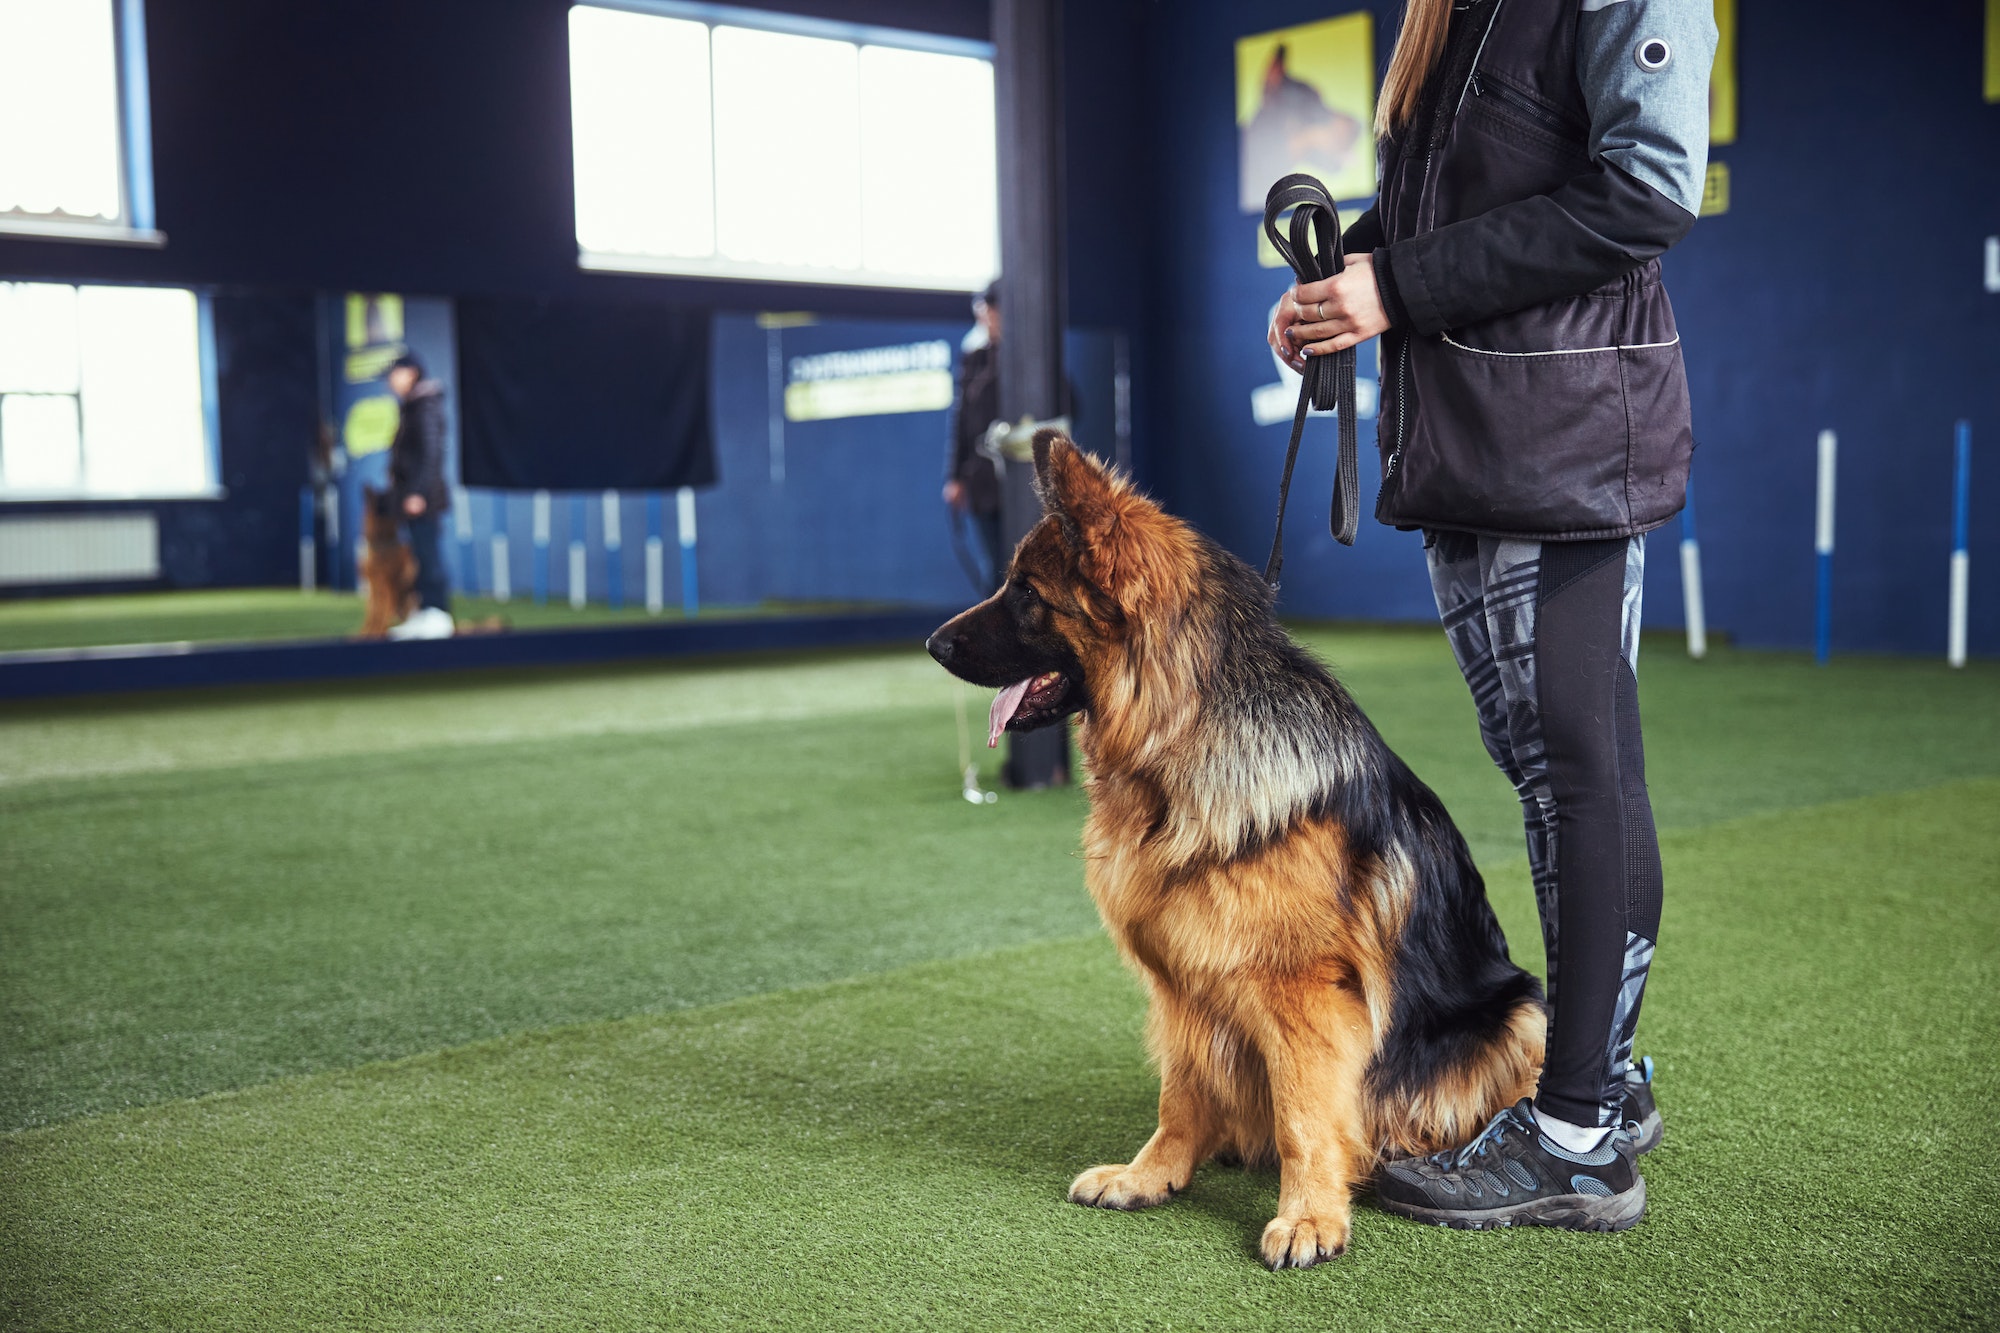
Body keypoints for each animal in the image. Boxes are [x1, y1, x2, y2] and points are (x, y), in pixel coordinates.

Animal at [924, 430, 1544, 1264]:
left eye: (1026, 593)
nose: (932, 642)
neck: (1176, 734)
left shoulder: (1303, 990)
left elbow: (1304, 1113)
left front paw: (1310, 1215)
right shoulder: (1181, 980)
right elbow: (1181, 1092)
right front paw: (1152, 1173)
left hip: (1521, 1015)